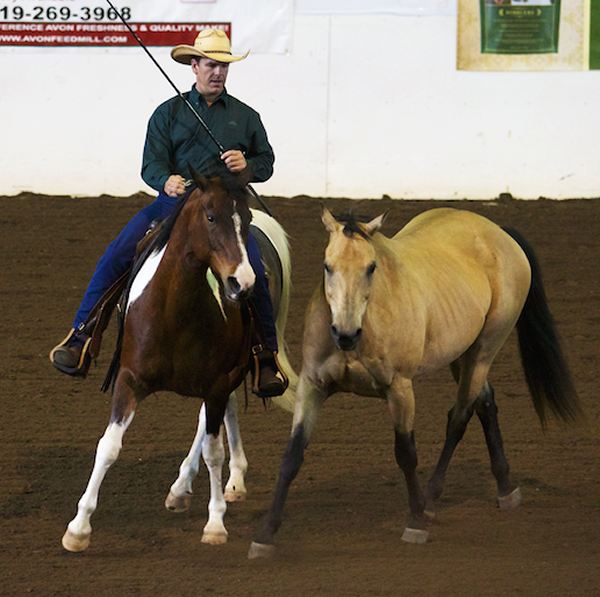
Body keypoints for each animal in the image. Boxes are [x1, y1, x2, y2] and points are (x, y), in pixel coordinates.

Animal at [247, 206, 576, 560]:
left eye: (371, 267)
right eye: (327, 265)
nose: (345, 334)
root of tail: (497, 231)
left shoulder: (400, 389)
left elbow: (406, 453)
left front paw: (416, 521)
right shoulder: (313, 386)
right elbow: (292, 456)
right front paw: (265, 534)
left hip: (485, 349)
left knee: (459, 417)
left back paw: (430, 499)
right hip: (461, 353)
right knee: (485, 403)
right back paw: (504, 487)